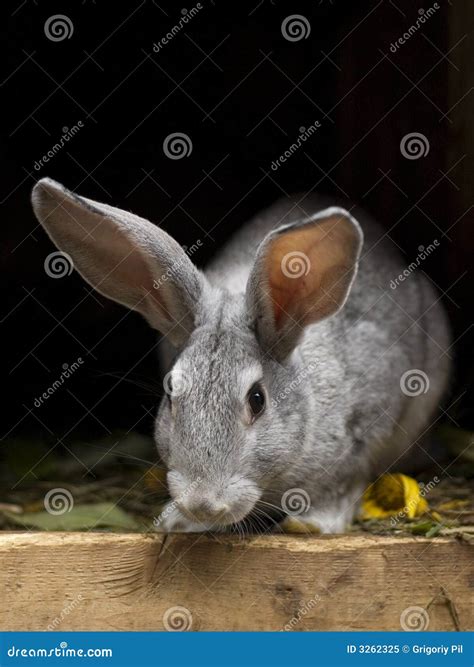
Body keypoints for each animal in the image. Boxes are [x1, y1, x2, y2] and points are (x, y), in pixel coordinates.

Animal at [31, 180, 450, 536]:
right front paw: (178, 523)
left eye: (257, 400)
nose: (202, 503)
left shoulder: (369, 425)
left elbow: (344, 484)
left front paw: (311, 525)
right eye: (171, 393)